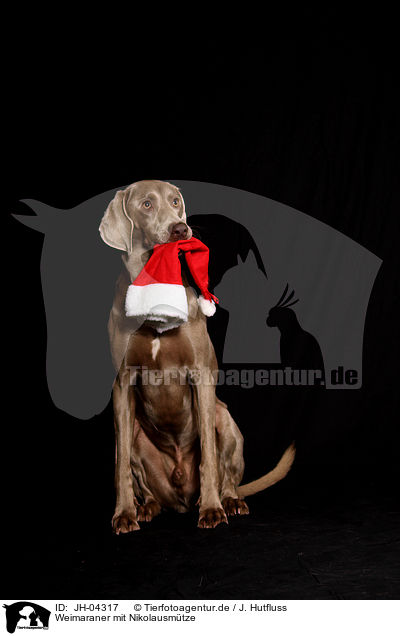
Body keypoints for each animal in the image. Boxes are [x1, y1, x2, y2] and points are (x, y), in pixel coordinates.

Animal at [99, 181, 294, 536]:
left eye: (176, 201)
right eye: (146, 204)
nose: (180, 228)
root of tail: (180, 500)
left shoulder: (201, 375)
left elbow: (208, 458)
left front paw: (213, 510)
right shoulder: (122, 382)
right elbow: (120, 467)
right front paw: (123, 514)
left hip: (225, 419)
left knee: (226, 472)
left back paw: (227, 500)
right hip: (136, 437)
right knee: (142, 478)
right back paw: (146, 507)